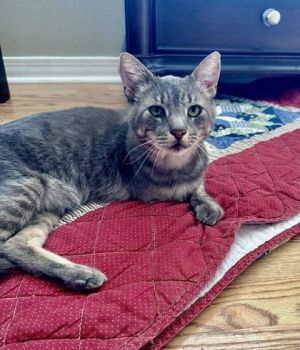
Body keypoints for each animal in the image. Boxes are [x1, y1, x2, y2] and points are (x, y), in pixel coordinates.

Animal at [0, 51, 223, 290]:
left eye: (194, 110)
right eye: (156, 111)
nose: (179, 131)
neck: (179, 164)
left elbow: (198, 183)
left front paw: (208, 204)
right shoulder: (155, 192)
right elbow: (185, 188)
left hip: (50, 205)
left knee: (16, 244)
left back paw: (79, 274)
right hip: (28, 186)